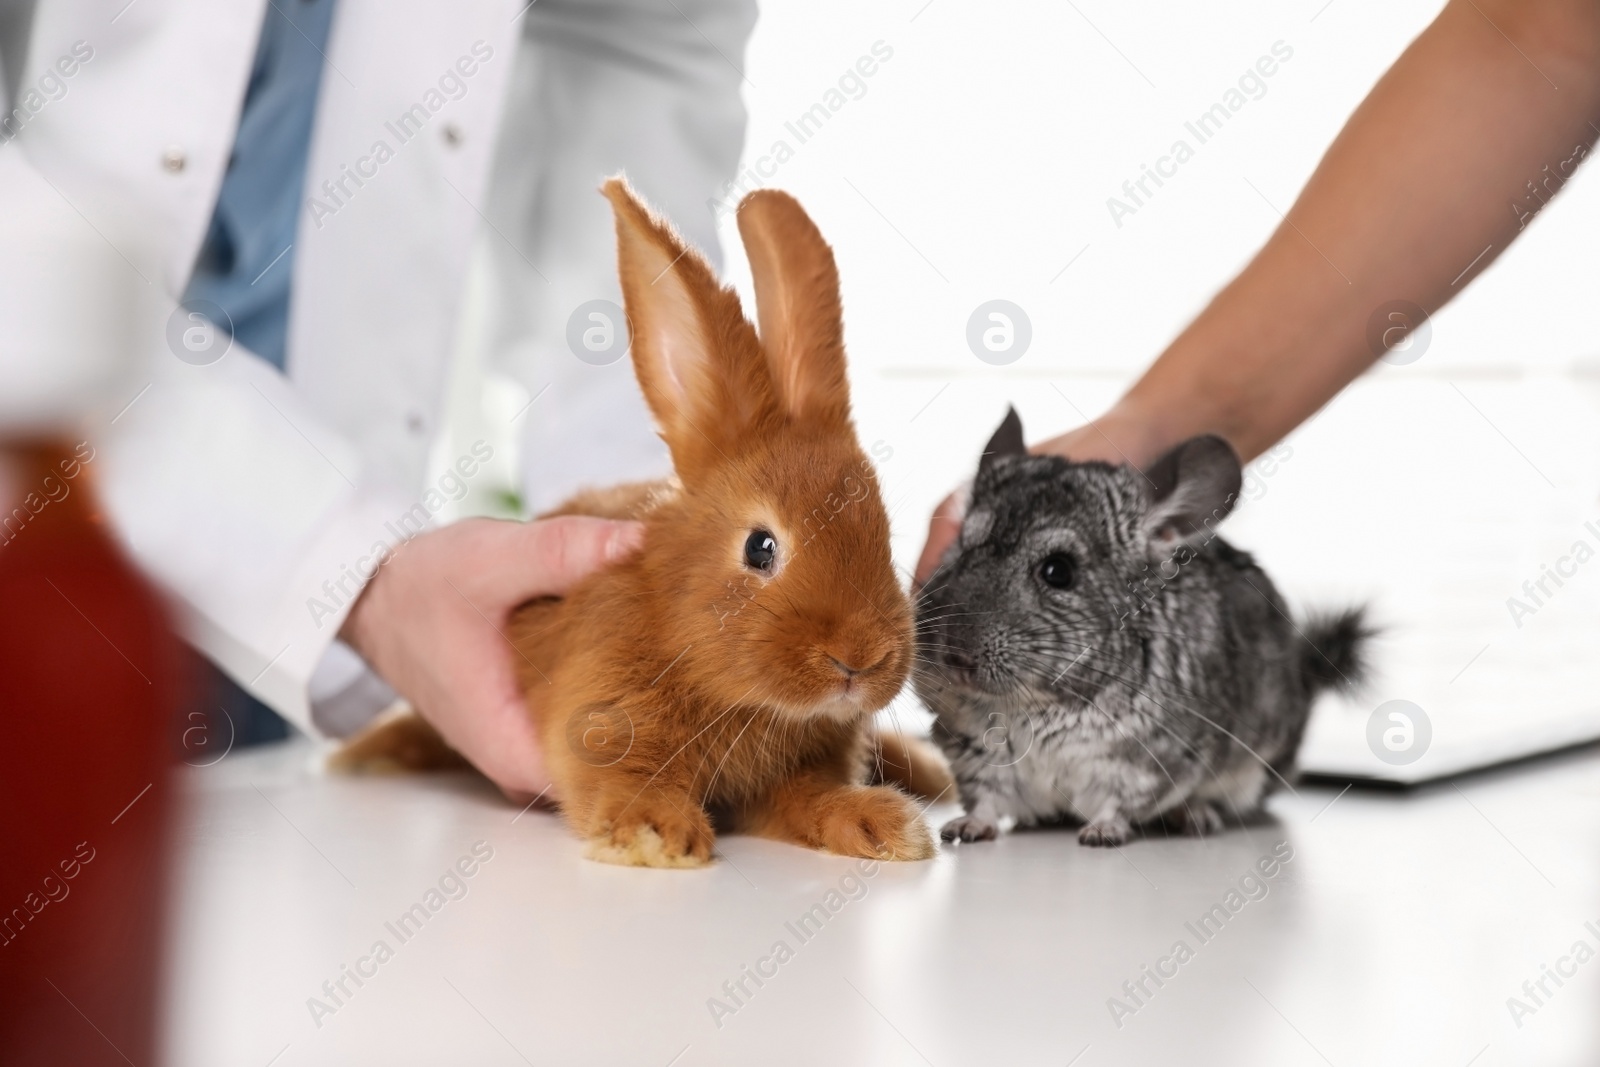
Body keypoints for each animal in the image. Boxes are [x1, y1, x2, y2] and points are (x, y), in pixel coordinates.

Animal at [331, 181, 940, 870]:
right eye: (761, 548)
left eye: (883, 533)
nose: (861, 659)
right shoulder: (605, 721)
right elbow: (627, 780)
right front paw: (657, 835)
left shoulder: (799, 771)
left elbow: (813, 797)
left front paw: (883, 825)